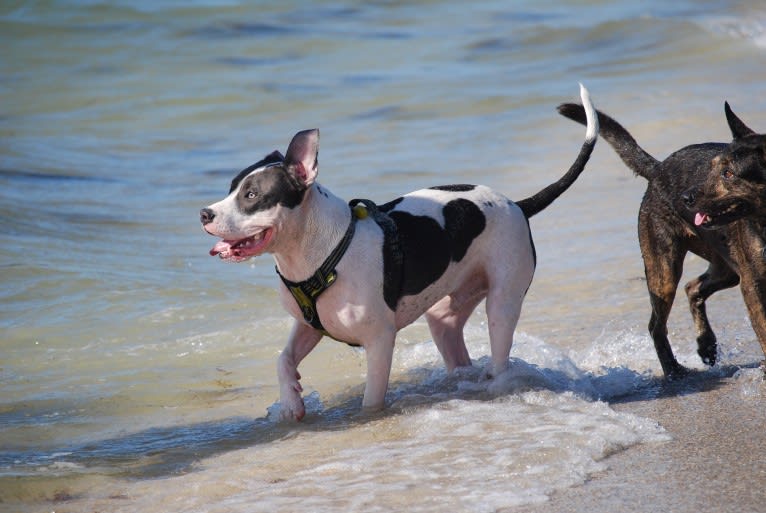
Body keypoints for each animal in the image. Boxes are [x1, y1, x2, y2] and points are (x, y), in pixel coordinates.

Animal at [201, 85, 596, 420]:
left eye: (252, 195)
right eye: (231, 188)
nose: (205, 213)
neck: (324, 253)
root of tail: (517, 204)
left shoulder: (379, 341)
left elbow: (372, 399)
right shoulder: (308, 325)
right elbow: (282, 360)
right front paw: (291, 402)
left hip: (503, 300)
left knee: (500, 346)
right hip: (445, 314)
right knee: (453, 341)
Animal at [560, 101, 766, 376]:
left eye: (729, 173)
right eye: (713, 168)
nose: (685, 198)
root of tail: (658, 169)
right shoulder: (752, 284)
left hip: (727, 266)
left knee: (692, 288)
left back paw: (706, 345)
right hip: (664, 269)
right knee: (656, 324)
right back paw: (673, 370)